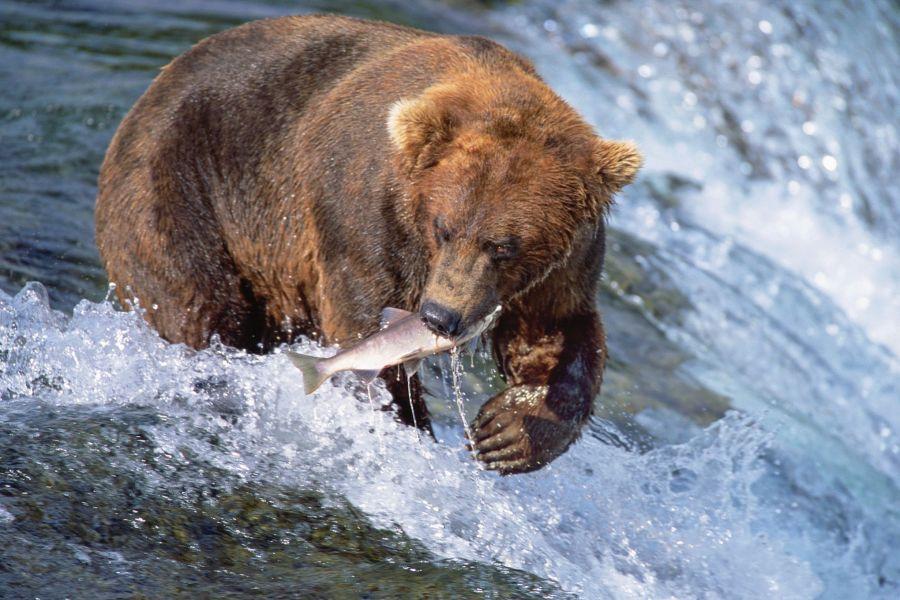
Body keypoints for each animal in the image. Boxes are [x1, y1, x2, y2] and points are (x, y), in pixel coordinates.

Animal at [95, 15, 640, 474]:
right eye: (444, 227)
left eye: (504, 246)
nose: (440, 316)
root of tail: (146, 96)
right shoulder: (363, 218)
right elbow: (363, 324)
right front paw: (408, 426)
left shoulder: (562, 264)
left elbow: (555, 333)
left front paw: (506, 433)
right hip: (182, 195)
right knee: (196, 308)